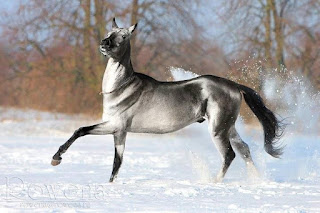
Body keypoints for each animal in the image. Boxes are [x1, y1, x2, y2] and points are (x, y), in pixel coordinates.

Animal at [51, 17, 284, 183]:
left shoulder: (115, 125)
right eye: (109, 33)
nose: (104, 43)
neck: (122, 88)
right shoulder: (119, 132)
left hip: (218, 129)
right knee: (244, 150)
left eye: (124, 36)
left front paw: (56, 158)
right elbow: (117, 162)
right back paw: (256, 181)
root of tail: (234, 86)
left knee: (229, 155)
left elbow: (81, 131)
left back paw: (213, 181)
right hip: (229, 127)